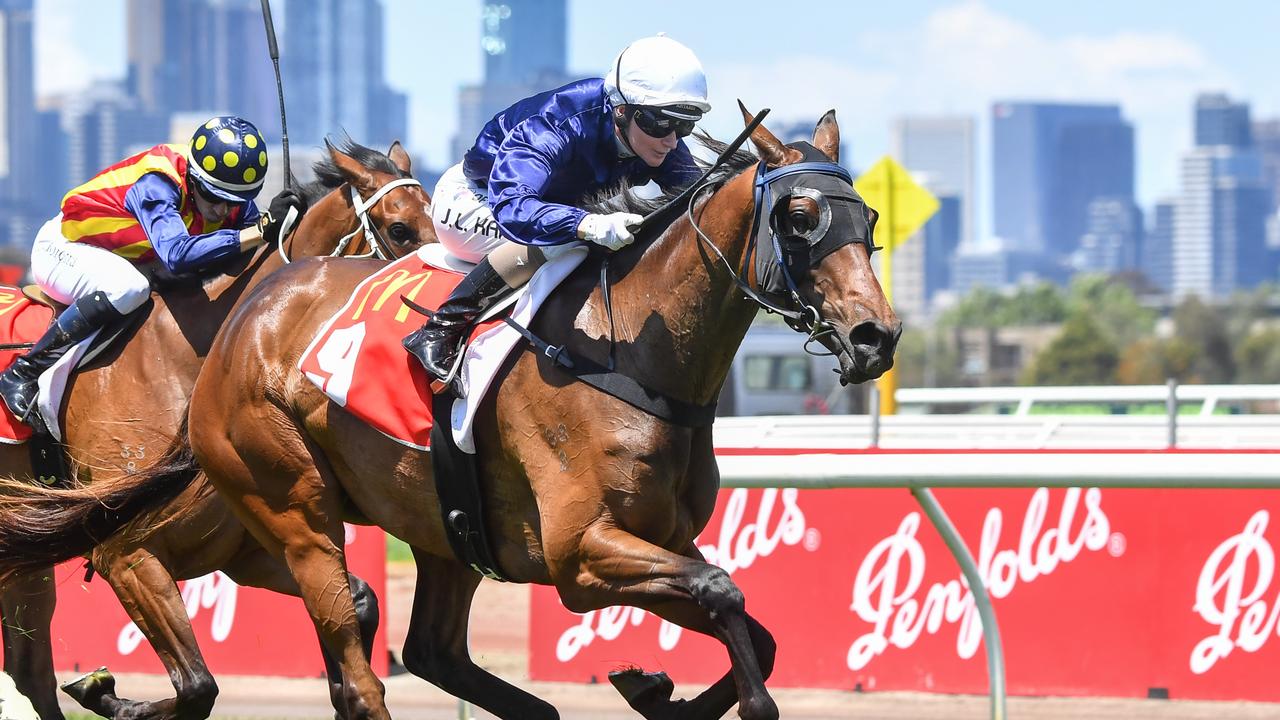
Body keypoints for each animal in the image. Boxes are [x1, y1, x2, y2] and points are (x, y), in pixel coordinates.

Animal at [0, 140, 435, 717]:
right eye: (400, 229)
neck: (189, 360)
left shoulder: (246, 551)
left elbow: (356, 607)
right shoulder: (125, 555)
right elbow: (198, 685)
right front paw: (101, 689)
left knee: (31, 670)